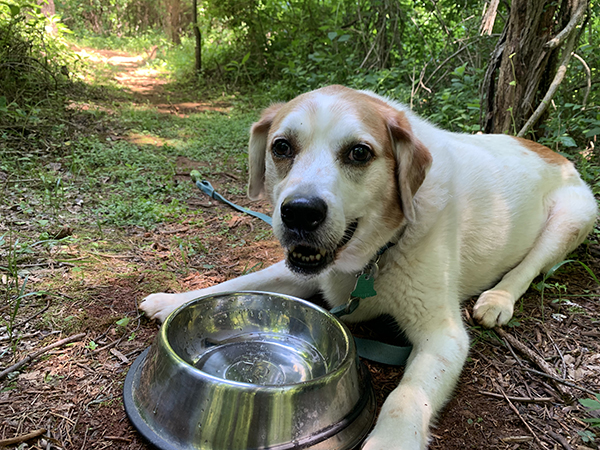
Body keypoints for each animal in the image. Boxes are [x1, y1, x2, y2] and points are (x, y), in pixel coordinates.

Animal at [139, 85, 596, 450]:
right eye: (282, 147)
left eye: (359, 152)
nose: (299, 212)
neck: (371, 257)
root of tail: (550, 150)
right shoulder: (304, 271)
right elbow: (245, 280)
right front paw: (175, 300)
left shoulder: (444, 335)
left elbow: (406, 396)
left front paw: (391, 442)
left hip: (573, 218)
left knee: (529, 268)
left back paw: (497, 299)